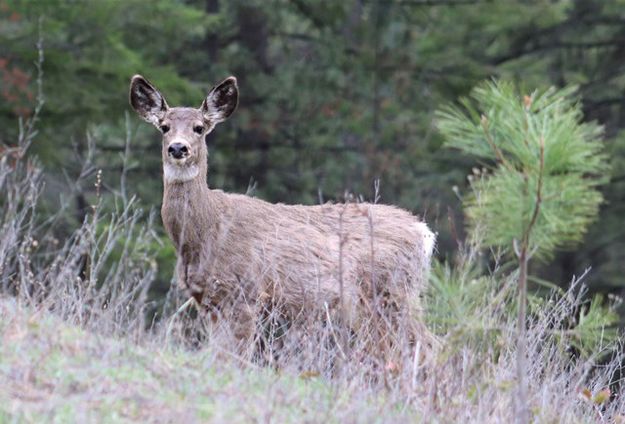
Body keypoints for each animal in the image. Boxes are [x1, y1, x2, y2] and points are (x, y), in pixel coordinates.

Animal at [129, 75, 436, 368]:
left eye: (199, 127)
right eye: (164, 127)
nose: (178, 148)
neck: (209, 229)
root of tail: (423, 232)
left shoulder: (245, 293)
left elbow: (236, 358)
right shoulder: (210, 301)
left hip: (391, 293)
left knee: (427, 345)